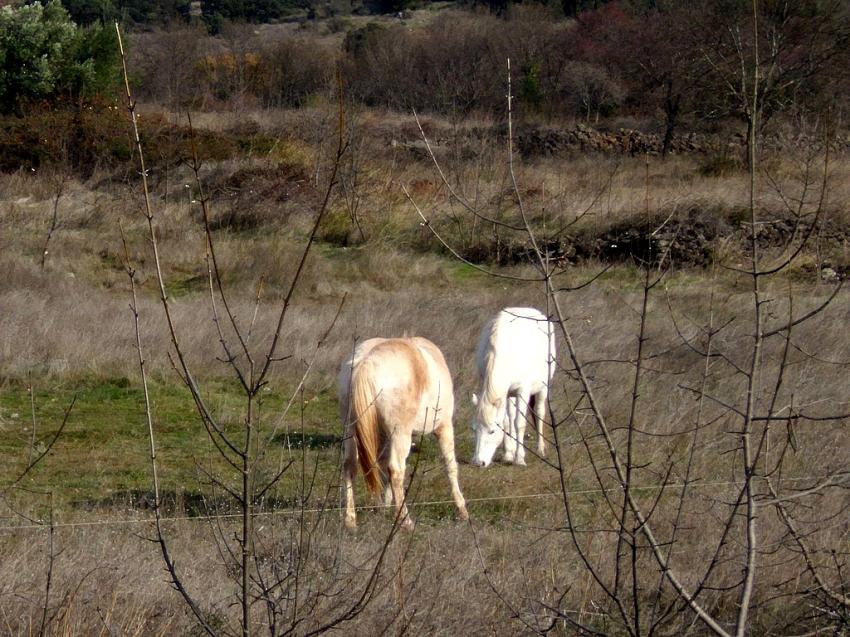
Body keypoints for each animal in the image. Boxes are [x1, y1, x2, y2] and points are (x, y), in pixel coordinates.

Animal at [339, 337, 468, 530]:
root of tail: (366, 362)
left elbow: (382, 468)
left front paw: (383, 506)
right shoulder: (444, 427)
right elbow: (451, 465)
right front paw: (461, 509)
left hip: (351, 431)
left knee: (350, 466)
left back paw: (350, 519)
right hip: (401, 434)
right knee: (396, 470)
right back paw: (405, 520)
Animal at [470, 307, 555, 467]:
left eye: (491, 431)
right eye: (474, 429)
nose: (478, 462)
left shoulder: (523, 391)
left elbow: (519, 423)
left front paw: (519, 458)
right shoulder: (505, 392)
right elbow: (506, 422)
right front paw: (508, 455)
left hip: (543, 387)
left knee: (539, 412)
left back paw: (541, 448)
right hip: (511, 394)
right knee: (510, 416)